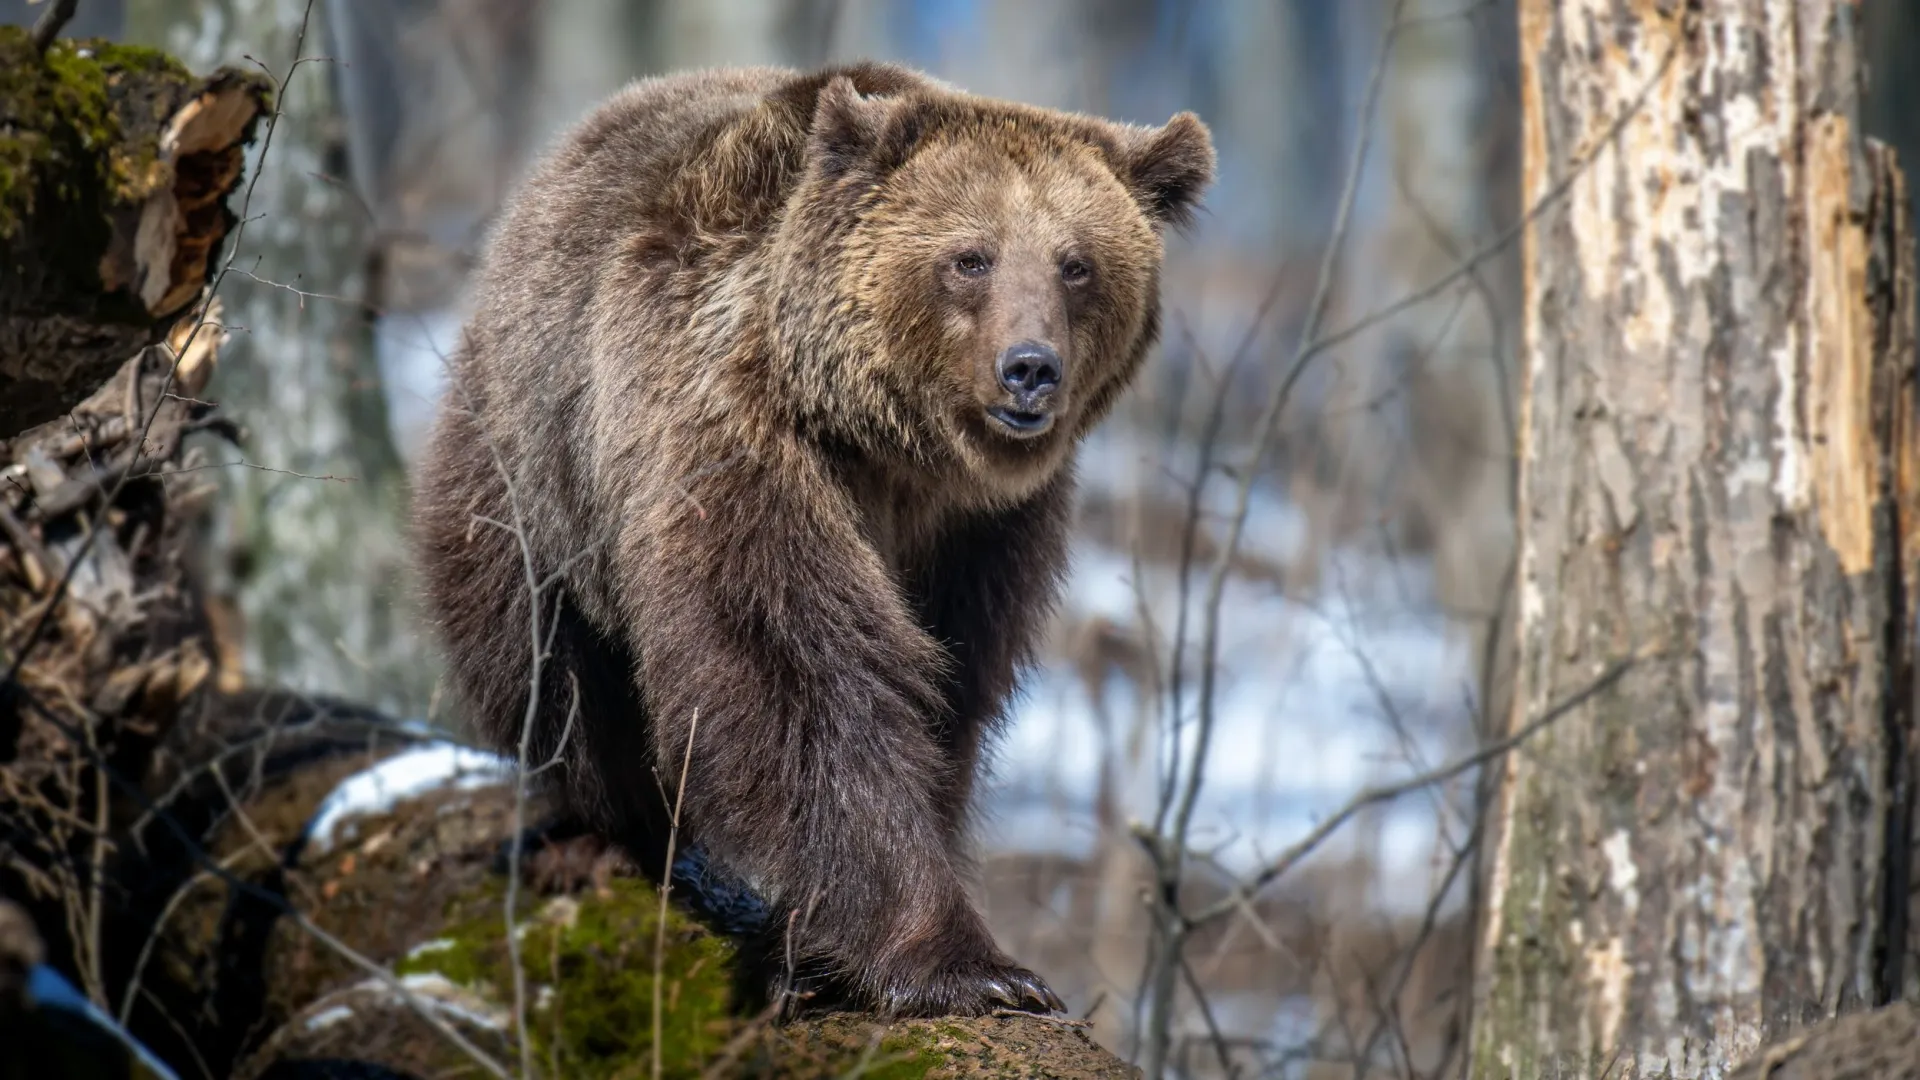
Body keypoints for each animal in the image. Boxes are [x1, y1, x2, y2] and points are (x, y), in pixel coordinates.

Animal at [410, 58, 1213, 1014]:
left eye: (1077, 265)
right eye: (970, 257)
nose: (1029, 368)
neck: (896, 448)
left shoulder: (987, 531)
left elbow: (950, 693)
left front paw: (829, 943)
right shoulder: (739, 433)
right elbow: (797, 673)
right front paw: (969, 966)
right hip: (533, 465)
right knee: (546, 665)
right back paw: (596, 833)